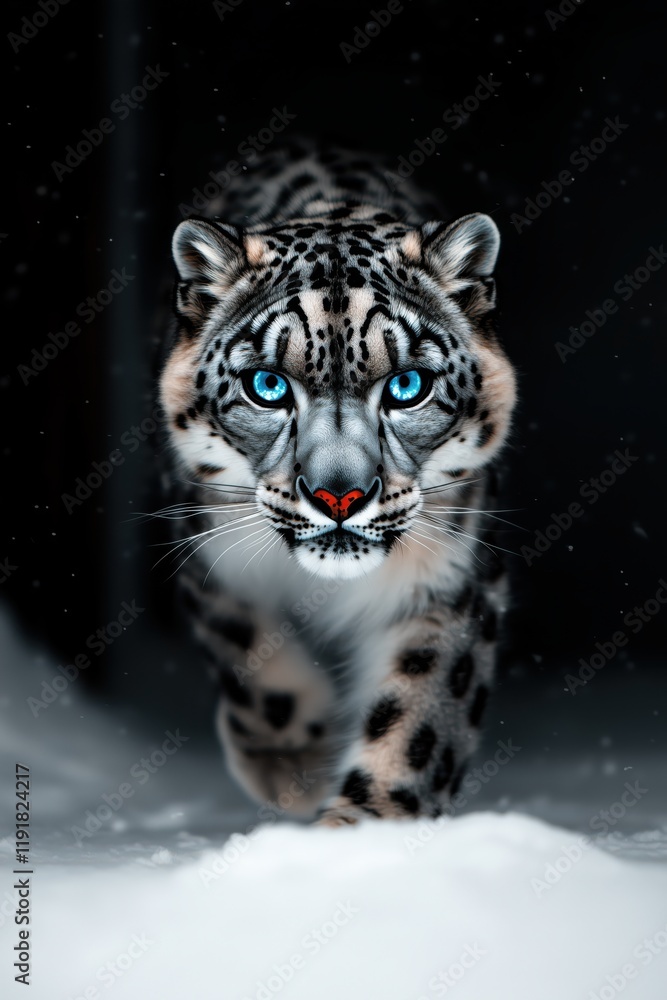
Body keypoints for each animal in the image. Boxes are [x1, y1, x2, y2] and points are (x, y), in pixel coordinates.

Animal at [157, 140, 517, 826]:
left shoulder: (447, 581)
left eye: (407, 384)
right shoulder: (206, 551)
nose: (339, 496)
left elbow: (417, 720)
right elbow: (244, 646)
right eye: (267, 384)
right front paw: (295, 768)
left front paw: (361, 828)